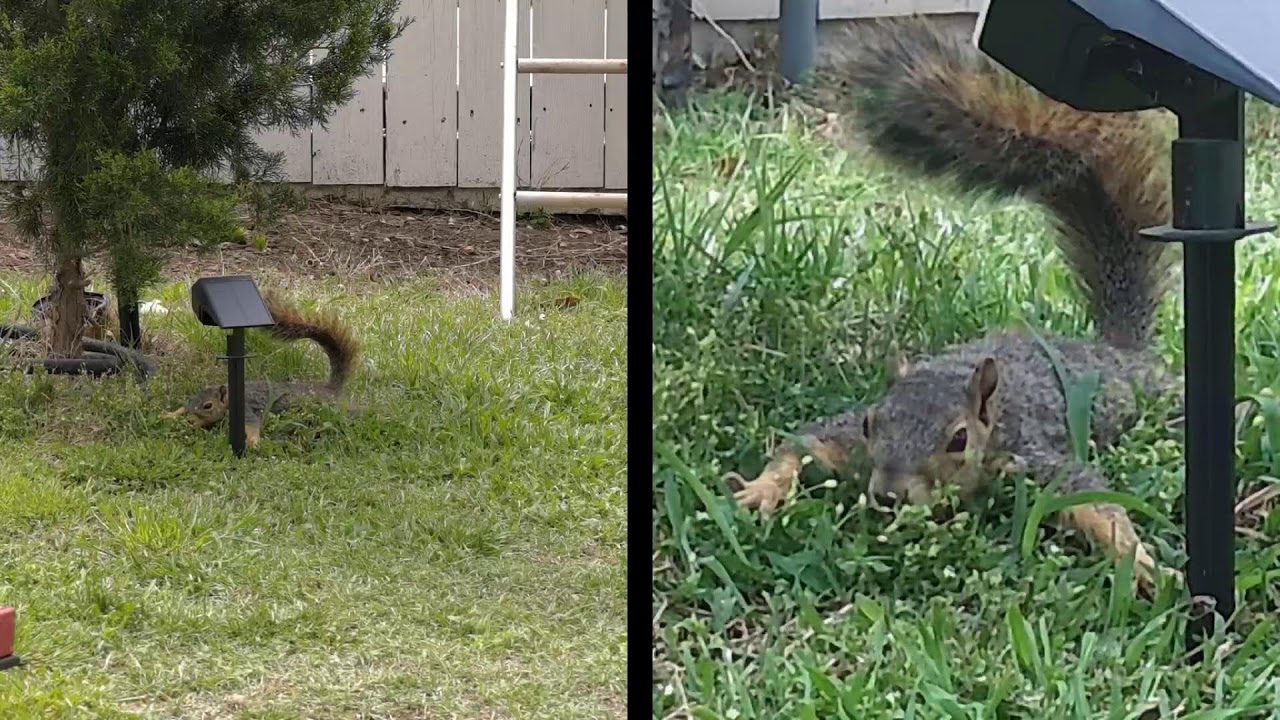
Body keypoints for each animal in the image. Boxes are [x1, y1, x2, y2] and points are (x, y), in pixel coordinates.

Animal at [163, 290, 360, 449]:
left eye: (208, 406)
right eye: (190, 399)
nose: (189, 420)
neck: (229, 397)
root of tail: (330, 388)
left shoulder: (246, 409)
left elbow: (252, 425)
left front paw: (252, 442)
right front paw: (170, 414)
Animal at [727, 18, 1185, 594]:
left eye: (959, 439)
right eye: (871, 423)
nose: (889, 496)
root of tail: (1116, 349)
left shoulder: (1029, 452)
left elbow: (1092, 500)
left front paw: (1142, 563)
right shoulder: (848, 445)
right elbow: (804, 441)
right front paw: (761, 490)